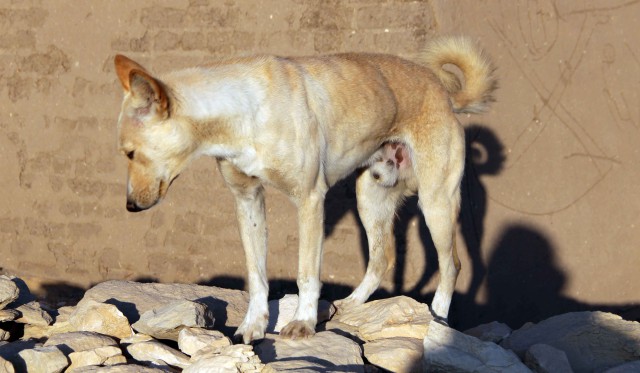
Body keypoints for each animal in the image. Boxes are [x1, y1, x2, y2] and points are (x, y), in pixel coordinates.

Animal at [112, 37, 498, 342]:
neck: (245, 113)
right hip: (370, 197)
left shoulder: (311, 200)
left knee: (452, 265)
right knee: (382, 259)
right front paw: (254, 326)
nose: (129, 206)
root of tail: (443, 92)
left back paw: (438, 318)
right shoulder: (248, 200)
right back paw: (351, 306)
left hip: (436, 203)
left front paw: (303, 322)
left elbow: (306, 273)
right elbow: (256, 274)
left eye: (130, 153)